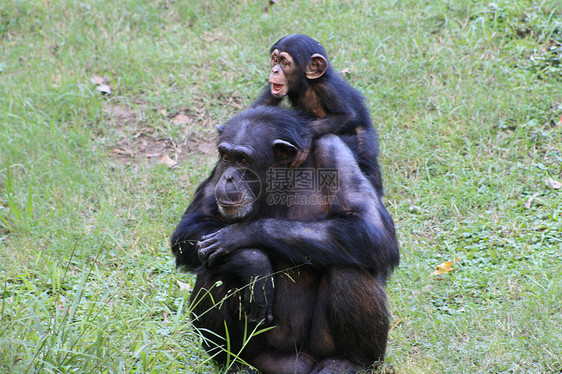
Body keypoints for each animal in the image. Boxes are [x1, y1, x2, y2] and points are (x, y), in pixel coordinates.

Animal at [171, 106, 398, 374]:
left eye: (244, 160)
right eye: (226, 156)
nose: (228, 178)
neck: (283, 177)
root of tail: (293, 362)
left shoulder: (335, 152)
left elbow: (372, 229)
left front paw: (238, 235)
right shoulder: (216, 170)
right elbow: (190, 228)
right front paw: (254, 263)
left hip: (319, 347)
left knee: (350, 270)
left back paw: (348, 362)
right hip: (263, 356)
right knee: (215, 272)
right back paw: (235, 363)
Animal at [252, 32, 382, 196]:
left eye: (284, 62)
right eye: (275, 60)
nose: (274, 70)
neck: (307, 84)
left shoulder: (327, 88)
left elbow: (344, 115)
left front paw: (305, 136)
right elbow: (260, 108)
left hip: (363, 138)